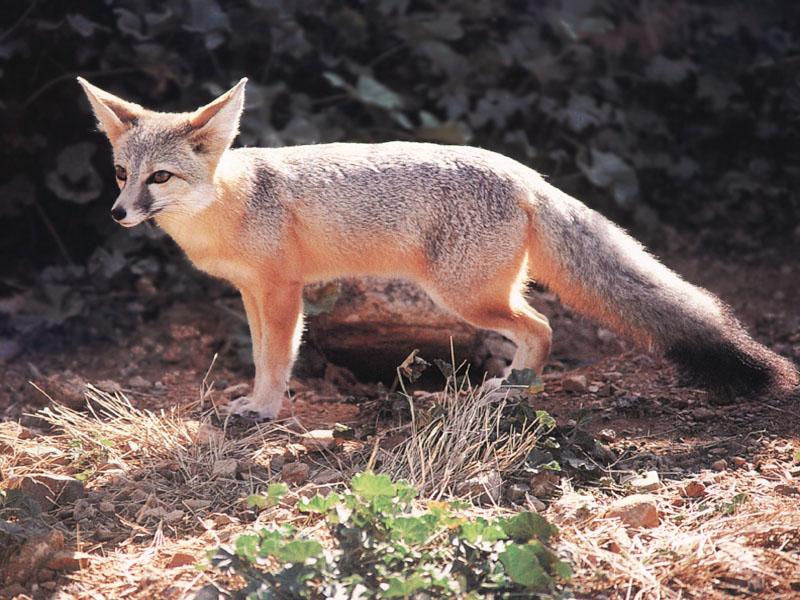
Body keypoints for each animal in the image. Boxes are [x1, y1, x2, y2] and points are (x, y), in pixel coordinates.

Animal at [78, 77, 796, 420]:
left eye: (159, 178)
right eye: (120, 174)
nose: (117, 214)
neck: (232, 201)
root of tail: (524, 173)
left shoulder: (283, 292)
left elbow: (277, 360)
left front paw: (263, 411)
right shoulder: (254, 293)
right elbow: (259, 355)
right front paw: (255, 401)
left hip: (465, 299)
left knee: (542, 326)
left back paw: (516, 392)